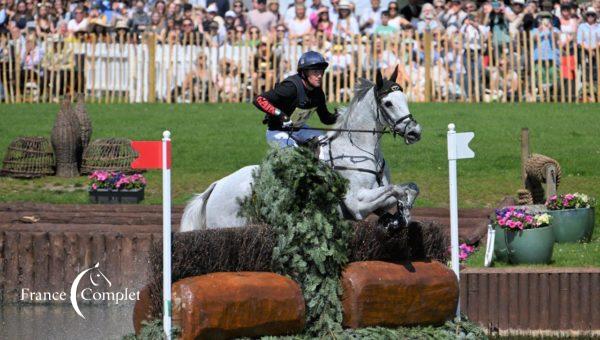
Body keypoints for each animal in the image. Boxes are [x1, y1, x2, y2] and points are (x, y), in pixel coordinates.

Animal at [182, 69, 422, 231]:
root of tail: (215, 186)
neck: (358, 148)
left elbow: (410, 187)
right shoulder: (357, 203)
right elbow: (396, 190)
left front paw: (399, 217)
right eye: (388, 103)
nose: (415, 132)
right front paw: (400, 215)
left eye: (404, 98)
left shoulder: (375, 200)